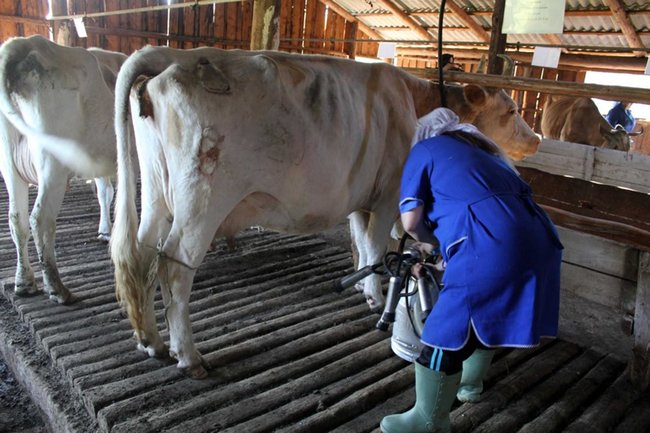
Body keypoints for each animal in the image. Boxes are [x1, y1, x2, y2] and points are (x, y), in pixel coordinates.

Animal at [0, 35, 127, 302]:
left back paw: (24, 282)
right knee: (40, 219)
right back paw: (57, 288)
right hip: (52, 166)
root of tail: (23, 44)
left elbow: (105, 193)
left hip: (9, 165)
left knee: (16, 218)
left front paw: (105, 231)